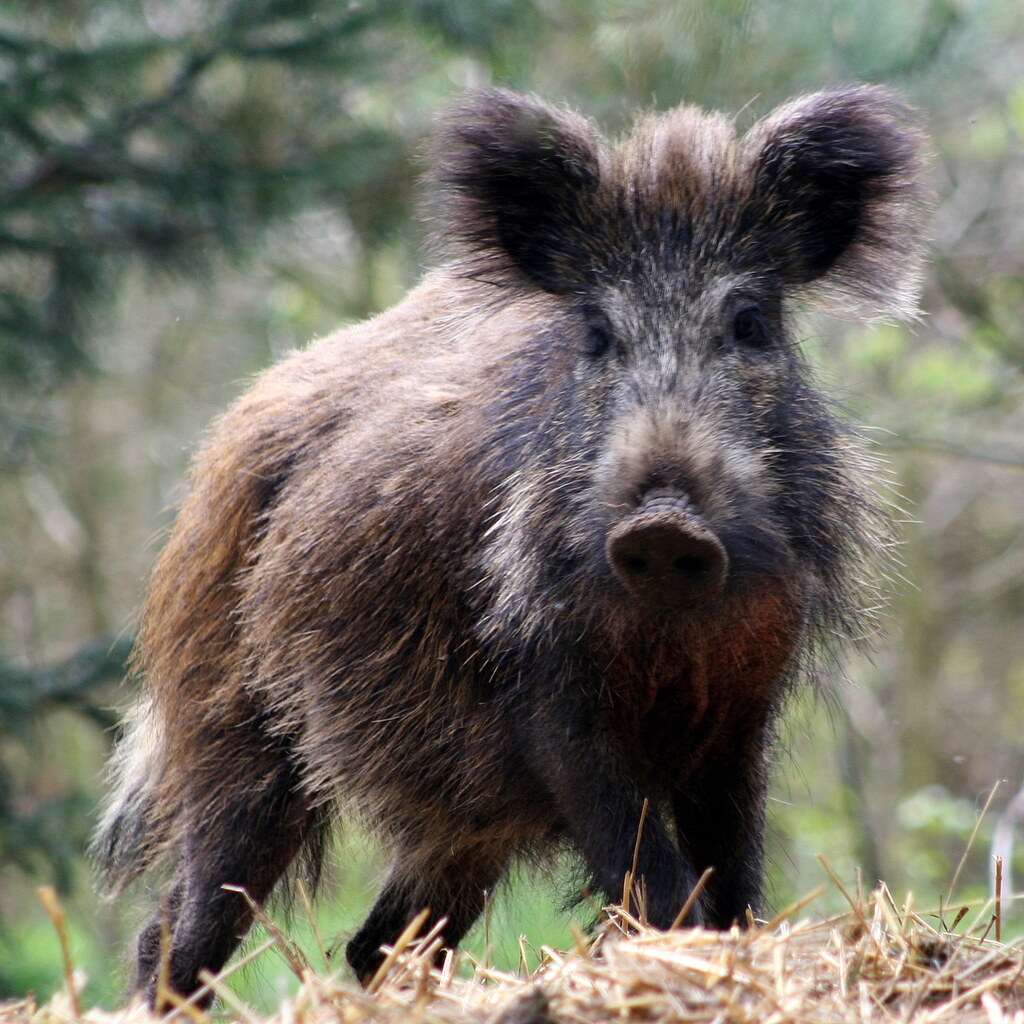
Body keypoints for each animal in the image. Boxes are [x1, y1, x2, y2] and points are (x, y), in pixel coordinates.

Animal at [94, 85, 927, 1006]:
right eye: (597, 334)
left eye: (749, 324)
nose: (663, 524)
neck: (666, 645)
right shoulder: (544, 703)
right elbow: (654, 876)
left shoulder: (744, 707)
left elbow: (734, 877)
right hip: (236, 732)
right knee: (183, 926)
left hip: (455, 819)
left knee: (376, 944)